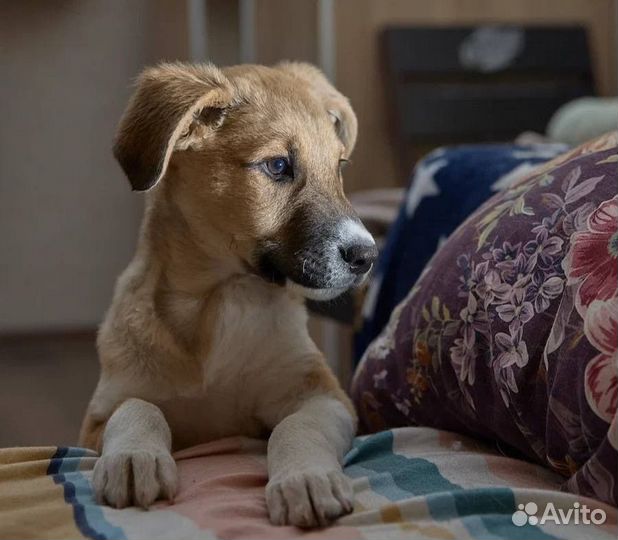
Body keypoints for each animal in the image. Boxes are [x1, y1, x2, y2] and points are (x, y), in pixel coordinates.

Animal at [79, 62, 378, 528]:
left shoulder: (325, 397)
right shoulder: (98, 416)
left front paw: (306, 479)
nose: (367, 255)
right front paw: (133, 458)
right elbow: (139, 408)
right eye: (278, 165)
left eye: (340, 165)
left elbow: (296, 429)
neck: (220, 302)